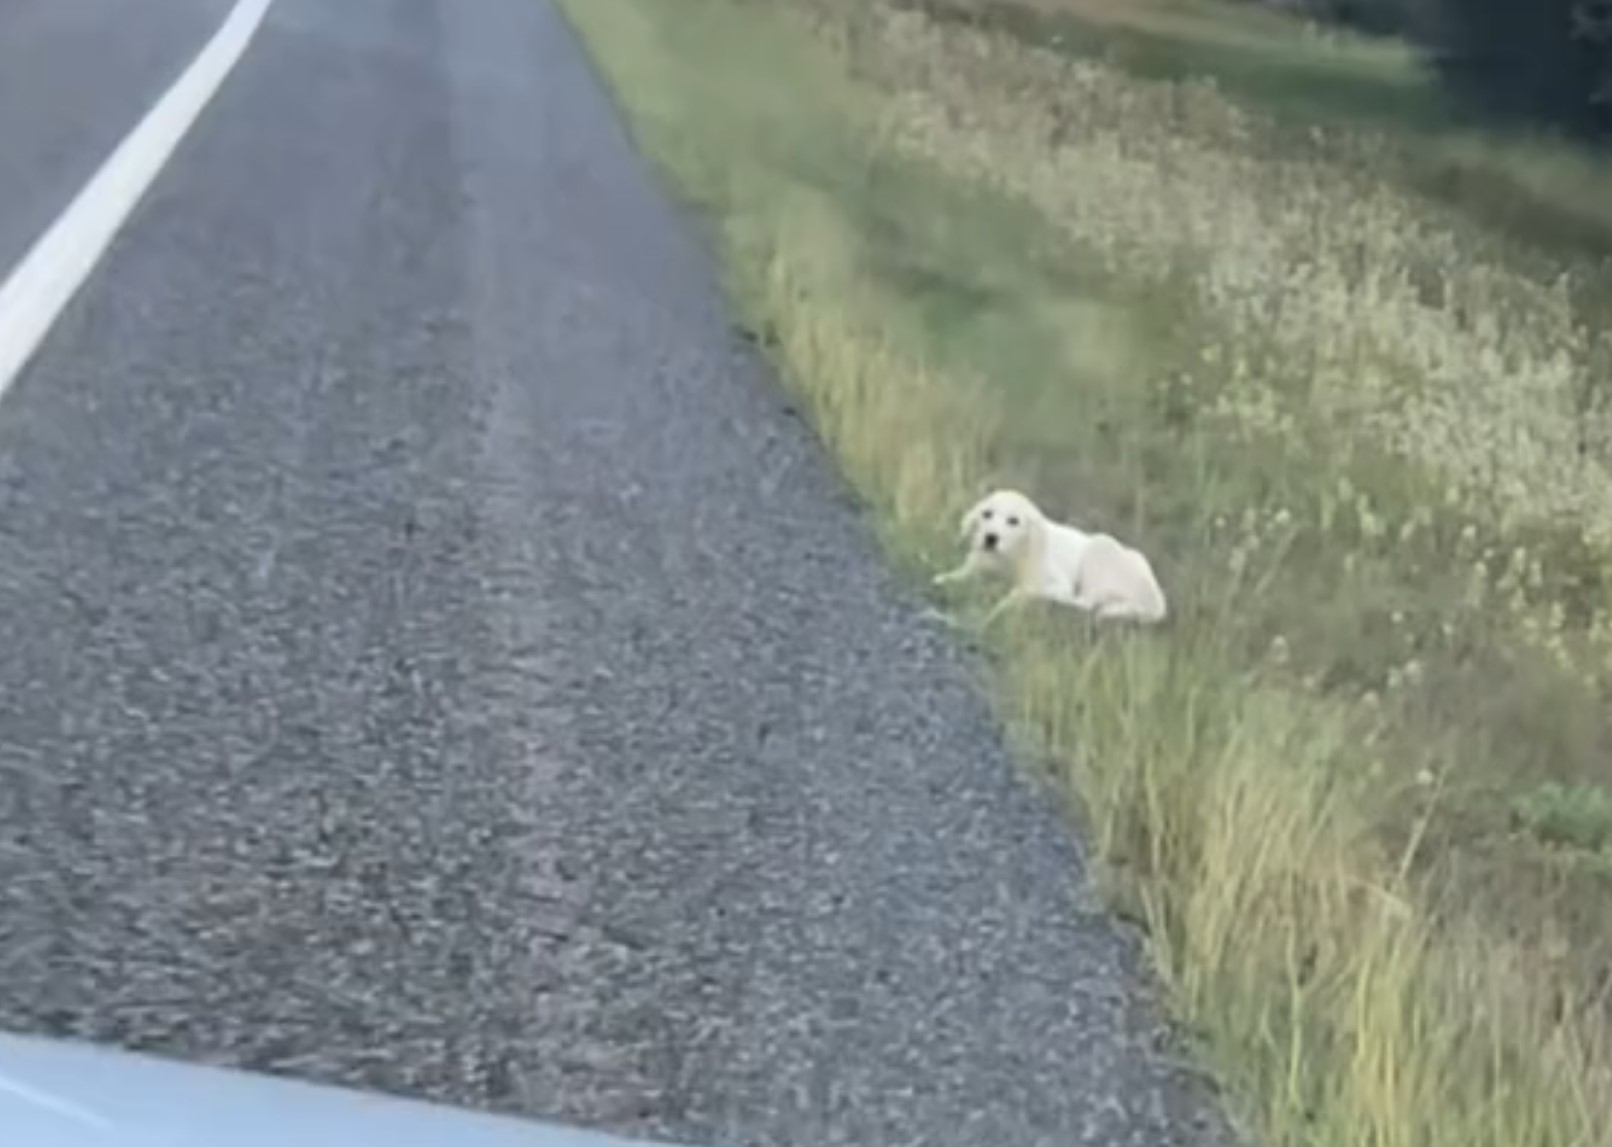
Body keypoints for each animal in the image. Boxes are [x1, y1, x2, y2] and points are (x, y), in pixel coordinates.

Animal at [934, 483, 1173, 628]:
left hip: (1100, 545)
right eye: (987, 514)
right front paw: (942, 579)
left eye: (1014, 521)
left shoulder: (1057, 583)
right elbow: (959, 573)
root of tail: (1158, 602)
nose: (990, 538)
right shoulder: (979, 564)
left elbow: (1019, 592)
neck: (1010, 557)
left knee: (1085, 603)